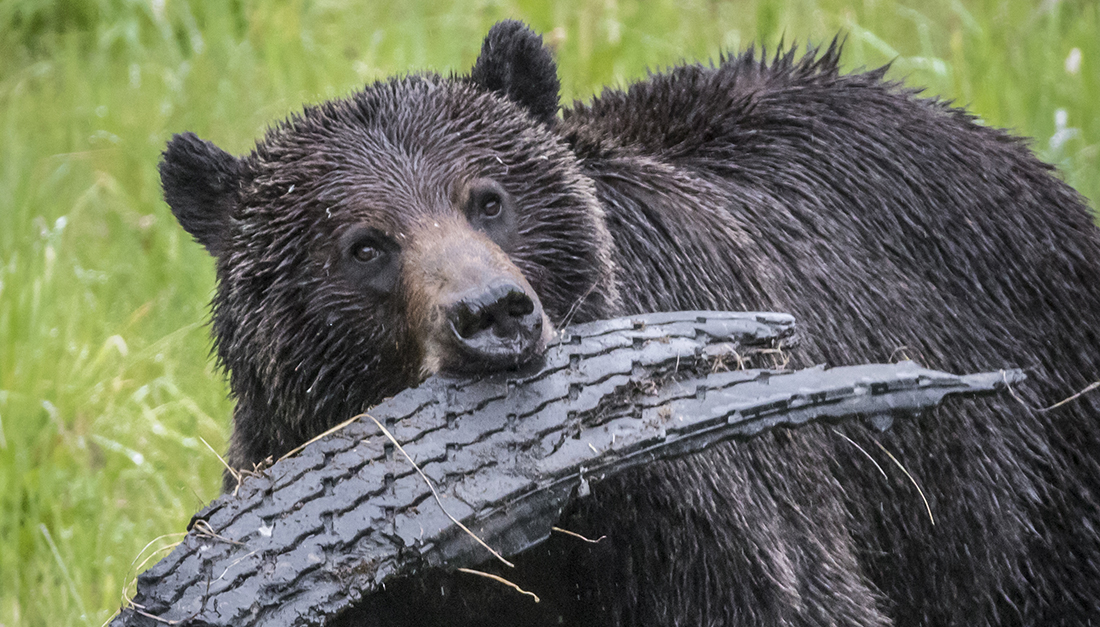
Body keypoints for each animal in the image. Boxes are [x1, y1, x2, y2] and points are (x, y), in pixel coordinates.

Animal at [160, 19, 1100, 624]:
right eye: (364, 245)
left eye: (488, 197)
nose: (493, 314)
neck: (534, 539)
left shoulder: (695, 511)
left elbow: (786, 590)